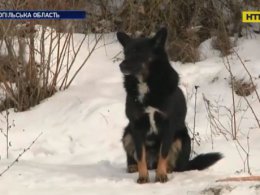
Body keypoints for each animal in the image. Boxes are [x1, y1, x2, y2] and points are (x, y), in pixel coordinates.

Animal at [117, 28, 222, 184]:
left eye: (138, 52)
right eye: (126, 53)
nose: (121, 66)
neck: (146, 84)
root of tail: (152, 164)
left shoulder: (167, 126)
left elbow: (164, 153)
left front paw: (161, 175)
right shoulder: (136, 126)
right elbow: (140, 155)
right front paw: (143, 177)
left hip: (182, 139)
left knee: (175, 165)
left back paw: (167, 169)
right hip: (127, 134)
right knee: (136, 157)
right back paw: (133, 166)